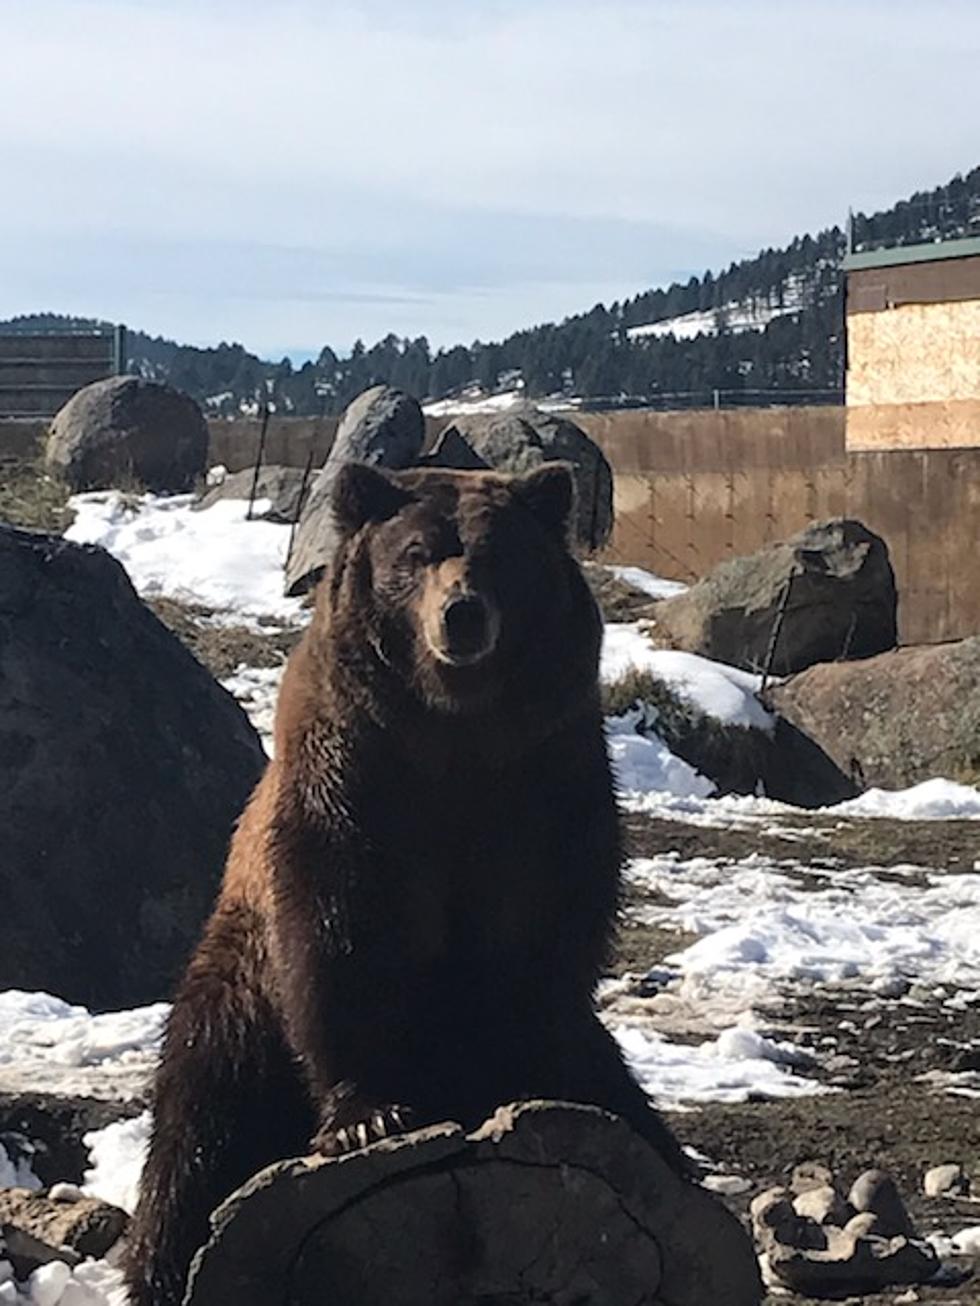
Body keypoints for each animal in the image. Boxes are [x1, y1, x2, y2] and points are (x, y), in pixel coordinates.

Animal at [122, 464, 684, 1300]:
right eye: (416, 554)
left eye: (498, 553)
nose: (462, 615)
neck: (454, 729)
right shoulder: (355, 780)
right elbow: (341, 934)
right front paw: (369, 1114)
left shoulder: (547, 779)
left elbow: (550, 933)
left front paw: (532, 1073)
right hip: (237, 994)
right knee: (198, 1123)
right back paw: (163, 1255)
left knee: (645, 1124)